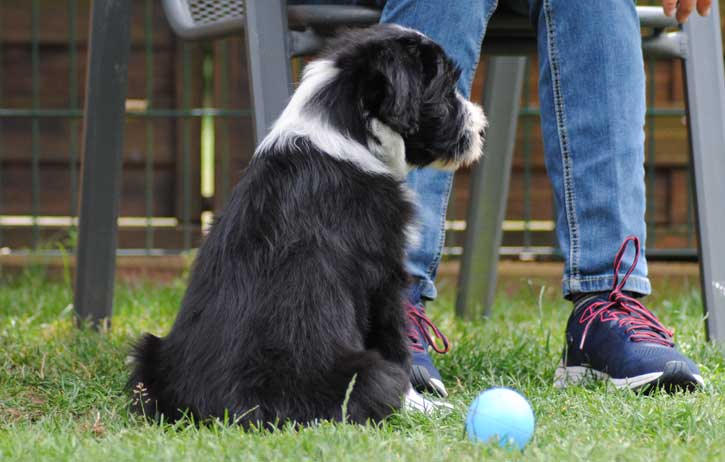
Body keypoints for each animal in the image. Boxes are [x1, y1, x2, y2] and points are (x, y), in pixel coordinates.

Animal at [129, 24, 486, 430]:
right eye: (445, 87)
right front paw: (427, 406)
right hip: (365, 373)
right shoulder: (384, 277)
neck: (348, 131)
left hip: (147, 354)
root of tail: (220, 414)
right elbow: (395, 346)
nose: (481, 128)